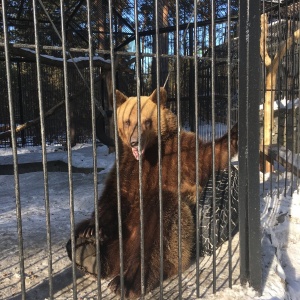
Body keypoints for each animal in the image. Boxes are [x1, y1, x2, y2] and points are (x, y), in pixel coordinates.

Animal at [66, 86, 239, 298]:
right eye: (127, 121)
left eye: (146, 121)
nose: (134, 142)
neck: (149, 153)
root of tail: (123, 257)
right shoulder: (126, 168)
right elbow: (113, 196)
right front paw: (92, 230)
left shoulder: (177, 157)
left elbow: (209, 155)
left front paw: (236, 132)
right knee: (78, 235)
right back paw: (87, 250)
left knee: (157, 230)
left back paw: (126, 282)